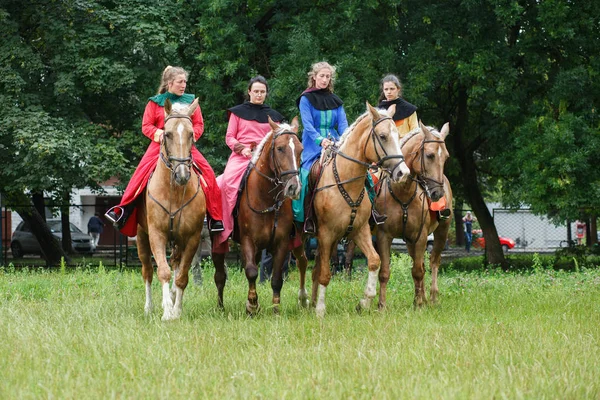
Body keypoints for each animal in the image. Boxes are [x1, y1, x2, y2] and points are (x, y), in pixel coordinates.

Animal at [135, 100, 205, 322]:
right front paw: (166, 311)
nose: (182, 174)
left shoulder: (191, 238)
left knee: (175, 265)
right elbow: (163, 272)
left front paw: (176, 310)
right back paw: (148, 307)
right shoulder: (156, 234)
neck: (173, 190)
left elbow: (182, 277)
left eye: (191, 134)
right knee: (148, 271)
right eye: (167, 134)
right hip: (141, 237)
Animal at [212, 117, 304, 314]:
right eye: (280, 148)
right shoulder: (248, 240)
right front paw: (252, 305)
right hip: (218, 242)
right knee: (220, 276)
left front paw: (275, 309)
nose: (293, 187)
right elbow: (252, 272)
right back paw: (220, 307)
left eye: (300, 149)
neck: (266, 198)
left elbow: (276, 278)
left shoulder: (281, 243)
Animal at [292, 104, 412, 318]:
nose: (403, 173)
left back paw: (312, 301)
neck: (346, 180)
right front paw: (321, 309)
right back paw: (305, 300)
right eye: (382, 136)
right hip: (302, 237)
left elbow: (374, 260)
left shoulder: (359, 230)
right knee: (303, 263)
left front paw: (364, 302)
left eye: (398, 135)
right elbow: (325, 274)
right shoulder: (326, 234)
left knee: (313, 268)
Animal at [372, 122, 452, 310]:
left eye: (446, 157)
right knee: (421, 263)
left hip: (442, 231)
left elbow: (417, 271)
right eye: (430, 155)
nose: (438, 193)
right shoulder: (384, 236)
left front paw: (418, 304)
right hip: (409, 242)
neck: (403, 191)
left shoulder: (421, 236)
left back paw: (432, 297)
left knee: (433, 261)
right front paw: (381, 305)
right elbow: (385, 272)